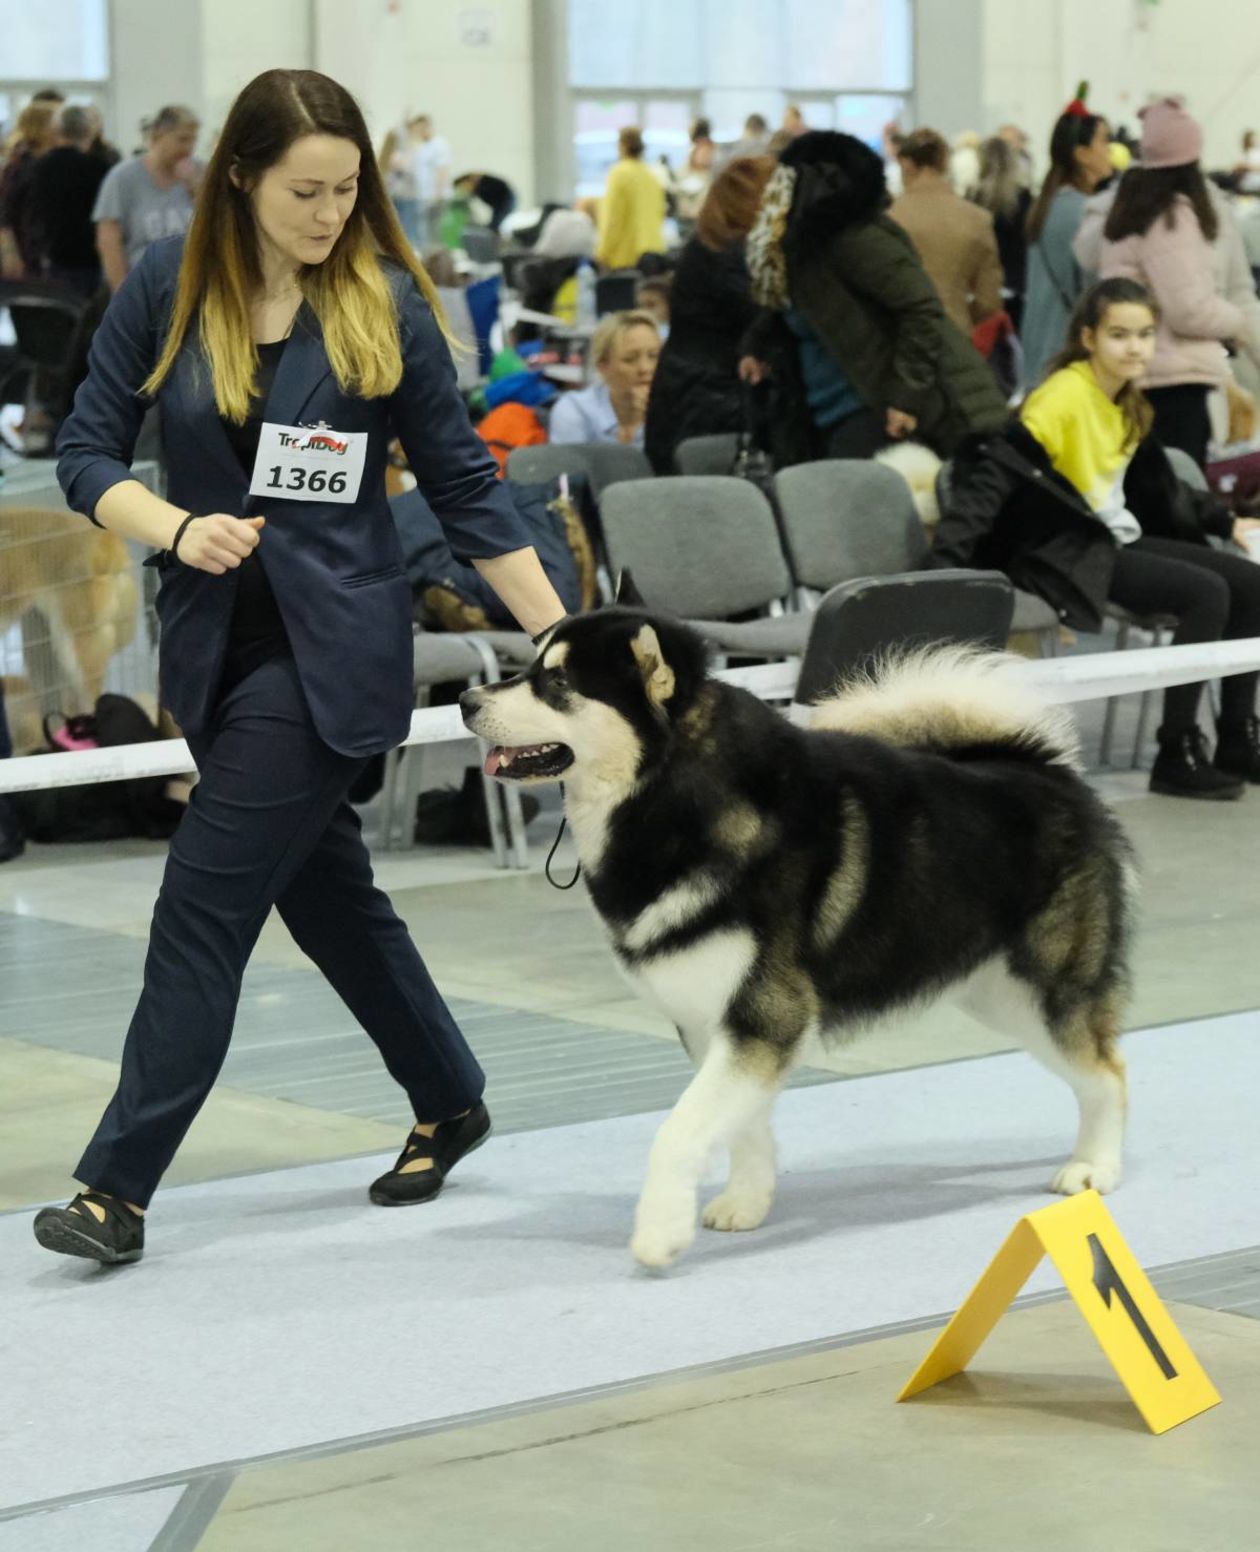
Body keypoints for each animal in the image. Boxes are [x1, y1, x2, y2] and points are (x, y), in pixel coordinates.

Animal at [459, 599, 1129, 1266]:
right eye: (532, 666)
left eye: (558, 683)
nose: (465, 700)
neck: (674, 802)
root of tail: (1047, 768)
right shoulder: (716, 1022)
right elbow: (741, 1126)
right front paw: (745, 1203)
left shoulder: (767, 1012)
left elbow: (679, 1130)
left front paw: (658, 1233)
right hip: (993, 993)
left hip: (1042, 993)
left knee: (1108, 1074)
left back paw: (1094, 1167)